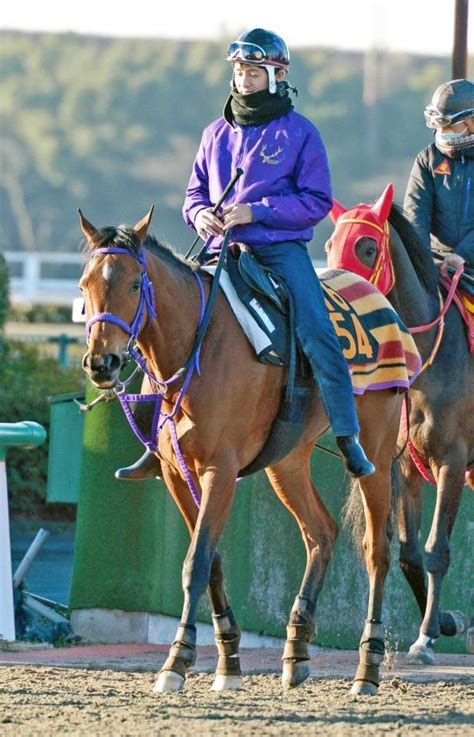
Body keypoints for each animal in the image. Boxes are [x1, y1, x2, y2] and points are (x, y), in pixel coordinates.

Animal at [78, 206, 404, 696]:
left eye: (135, 284)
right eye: (85, 285)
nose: (102, 363)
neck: (199, 345)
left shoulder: (220, 470)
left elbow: (196, 562)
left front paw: (177, 660)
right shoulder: (177, 474)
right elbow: (210, 560)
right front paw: (228, 662)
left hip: (377, 457)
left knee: (376, 550)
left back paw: (368, 668)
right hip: (287, 462)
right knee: (321, 532)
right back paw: (296, 649)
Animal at [328, 183, 472, 660]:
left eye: (367, 247)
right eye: (329, 244)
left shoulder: (452, 459)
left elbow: (436, 549)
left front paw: (426, 637)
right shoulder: (404, 466)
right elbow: (410, 552)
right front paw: (445, 621)